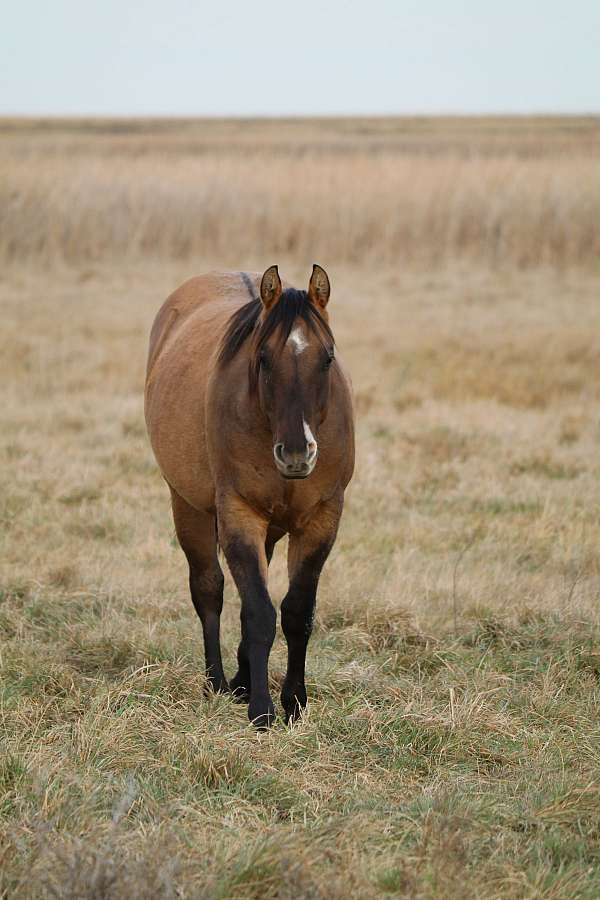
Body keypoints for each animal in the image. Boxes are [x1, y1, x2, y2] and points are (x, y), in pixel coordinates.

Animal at [144, 265, 354, 727]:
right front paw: (262, 709)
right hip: (189, 508)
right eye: (263, 358)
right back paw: (218, 683)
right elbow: (258, 613)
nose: (296, 453)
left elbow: (296, 613)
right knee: (209, 590)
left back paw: (240, 680)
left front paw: (295, 702)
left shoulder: (321, 520)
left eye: (328, 357)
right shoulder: (240, 515)